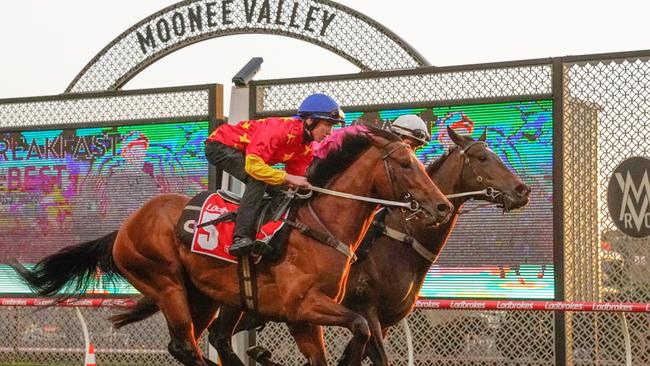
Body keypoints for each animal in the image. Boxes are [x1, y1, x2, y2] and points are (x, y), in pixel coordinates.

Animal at [12, 126, 454, 366]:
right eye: (404, 164)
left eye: (419, 161)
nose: (442, 206)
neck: (320, 225)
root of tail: (125, 227)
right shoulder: (303, 307)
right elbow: (360, 327)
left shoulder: (306, 317)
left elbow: (334, 349)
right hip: (167, 285)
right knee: (185, 346)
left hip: (206, 297)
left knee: (198, 342)